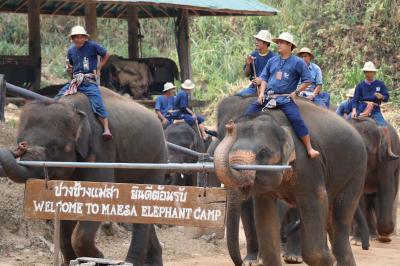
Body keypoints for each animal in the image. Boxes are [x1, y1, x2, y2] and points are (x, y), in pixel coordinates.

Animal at [0, 88, 167, 266]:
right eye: (19, 141)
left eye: (53, 148)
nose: (19, 149)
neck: (71, 107)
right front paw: (75, 261)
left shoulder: (101, 147)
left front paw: (99, 257)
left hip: (156, 160)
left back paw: (131, 262)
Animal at [214, 95, 368, 266]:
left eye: (262, 153)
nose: (230, 126)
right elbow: (265, 214)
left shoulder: (308, 163)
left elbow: (316, 199)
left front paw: (328, 259)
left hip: (356, 172)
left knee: (340, 216)